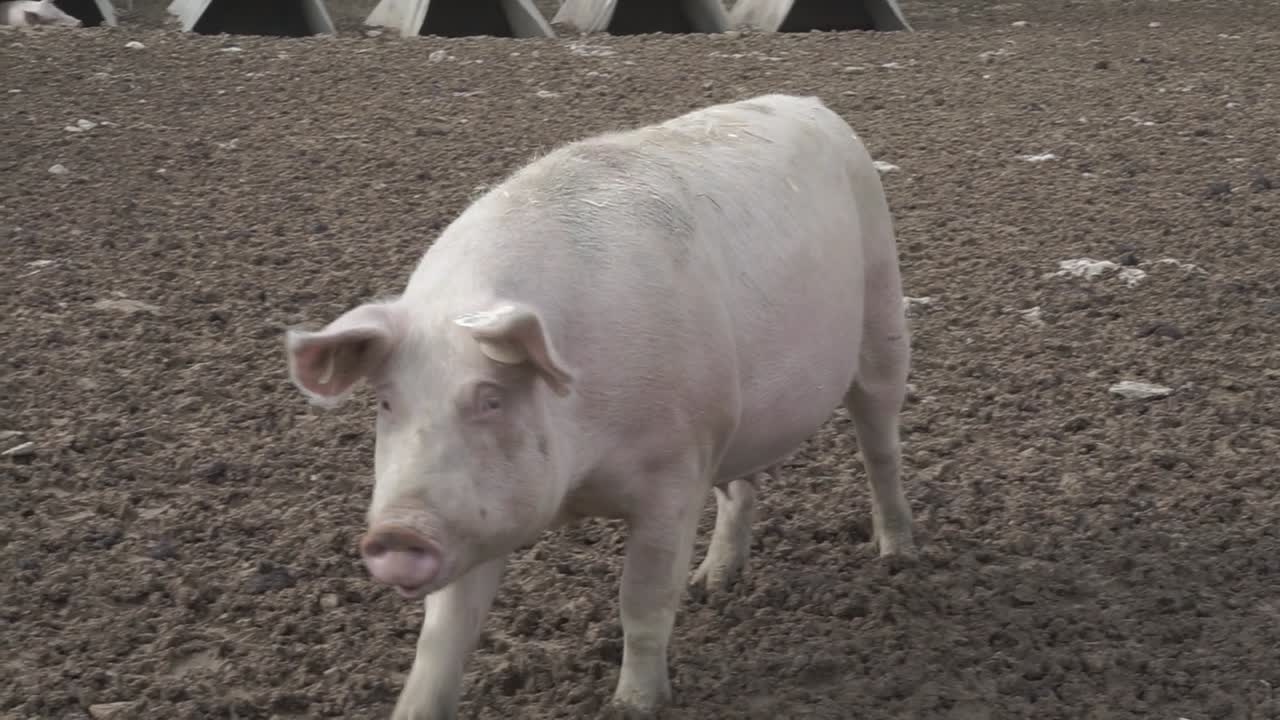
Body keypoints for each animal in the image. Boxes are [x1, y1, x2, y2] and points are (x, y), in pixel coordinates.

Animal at [285, 93, 916, 719]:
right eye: (388, 403)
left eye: (491, 398)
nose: (399, 531)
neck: (581, 477)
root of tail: (810, 103)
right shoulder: (480, 519)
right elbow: (442, 639)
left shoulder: (674, 473)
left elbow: (642, 602)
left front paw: (632, 706)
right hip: (736, 419)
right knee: (740, 489)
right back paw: (711, 584)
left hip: (883, 310)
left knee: (880, 446)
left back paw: (895, 557)